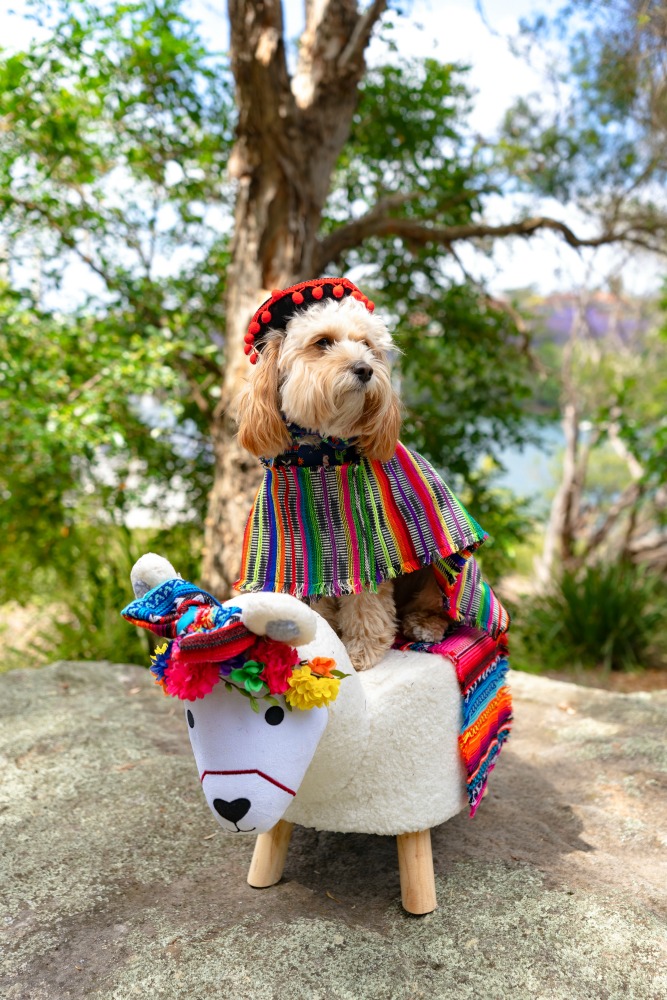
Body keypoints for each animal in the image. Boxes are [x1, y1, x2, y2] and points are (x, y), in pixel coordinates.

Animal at [234, 288, 448, 672]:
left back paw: (424, 624)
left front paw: (361, 651)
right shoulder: (303, 552)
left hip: (434, 571)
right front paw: (323, 634)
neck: (319, 456)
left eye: (366, 345)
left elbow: (366, 600)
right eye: (323, 342)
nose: (365, 368)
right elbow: (316, 597)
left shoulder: (366, 548)